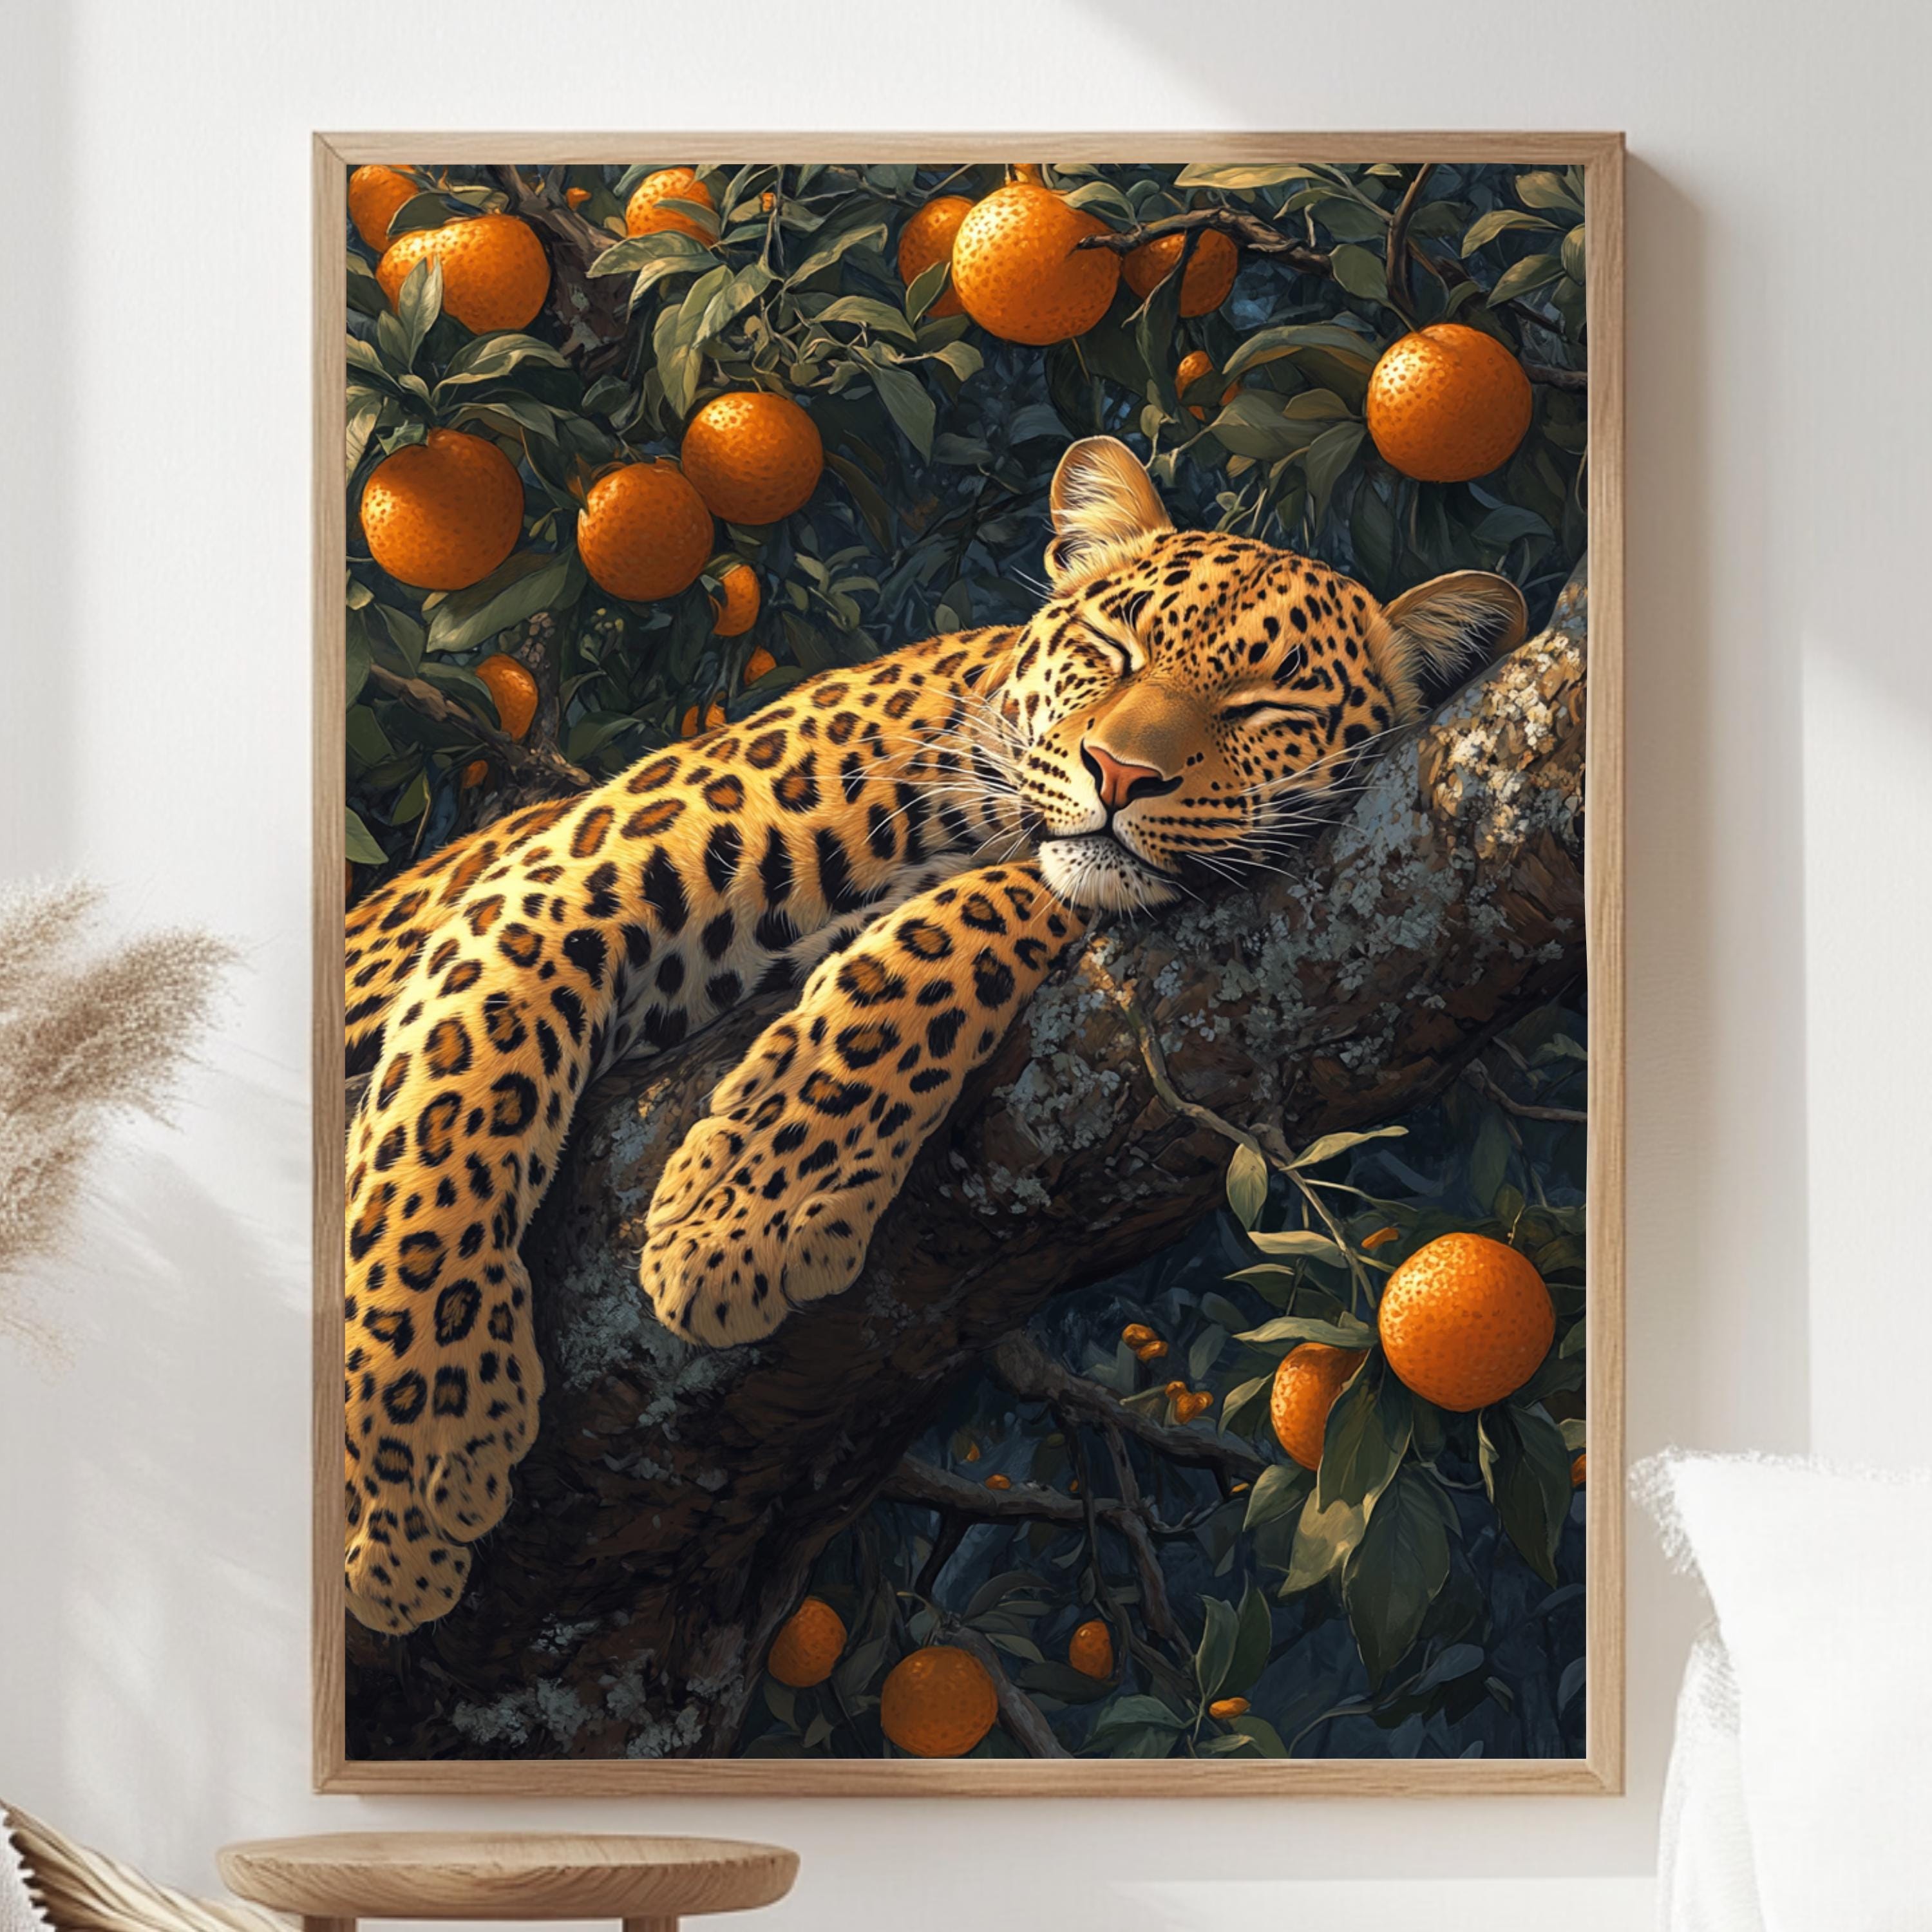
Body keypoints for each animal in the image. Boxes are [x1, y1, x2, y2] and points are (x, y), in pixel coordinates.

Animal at [340, 434, 1526, 1634]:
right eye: (1112, 648)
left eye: (1264, 704)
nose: (1121, 773)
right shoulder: (564, 873)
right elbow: (447, 1122)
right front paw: (413, 1471)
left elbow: (945, 944)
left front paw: (746, 1211)